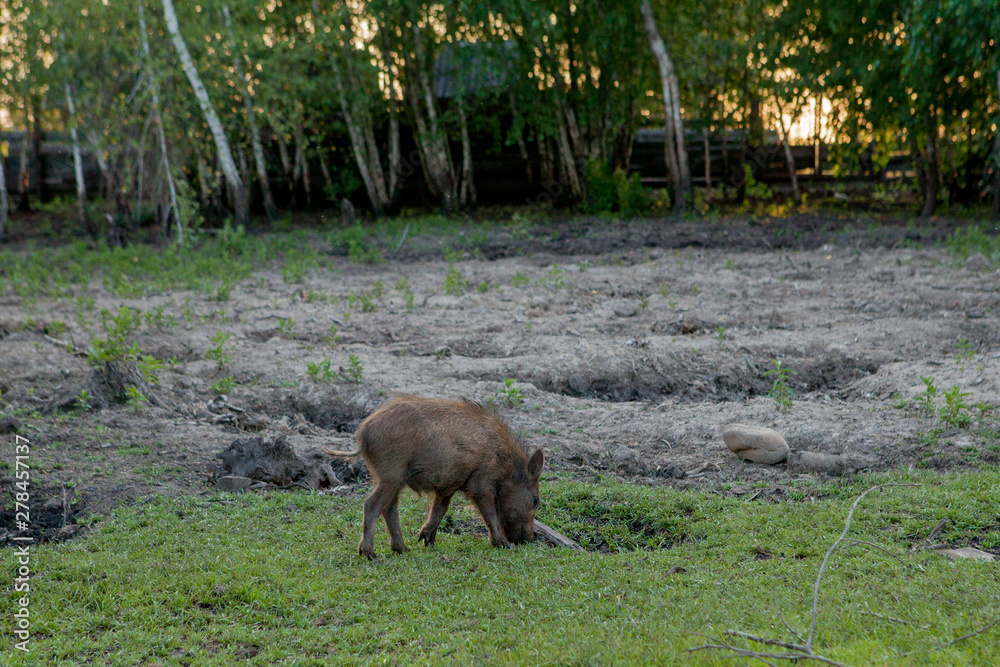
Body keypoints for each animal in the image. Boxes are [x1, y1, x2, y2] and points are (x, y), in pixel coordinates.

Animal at [327, 394, 544, 559]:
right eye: (535, 500)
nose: (528, 540)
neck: (507, 464)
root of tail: (363, 436)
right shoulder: (481, 484)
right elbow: (490, 515)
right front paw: (504, 544)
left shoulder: (448, 486)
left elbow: (440, 510)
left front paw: (427, 541)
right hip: (391, 475)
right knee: (372, 504)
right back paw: (370, 554)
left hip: (391, 478)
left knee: (389, 507)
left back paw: (403, 549)